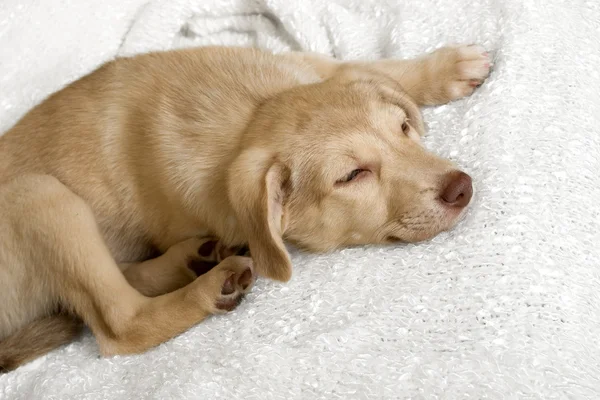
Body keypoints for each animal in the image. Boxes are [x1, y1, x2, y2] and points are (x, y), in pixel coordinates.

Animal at [0, 44, 490, 372]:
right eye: (352, 176)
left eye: (404, 128)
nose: (461, 188)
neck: (250, 114)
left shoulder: (312, 65)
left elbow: (368, 66)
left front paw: (447, 66)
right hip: (39, 194)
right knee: (120, 323)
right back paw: (210, 283)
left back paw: (192, 260)